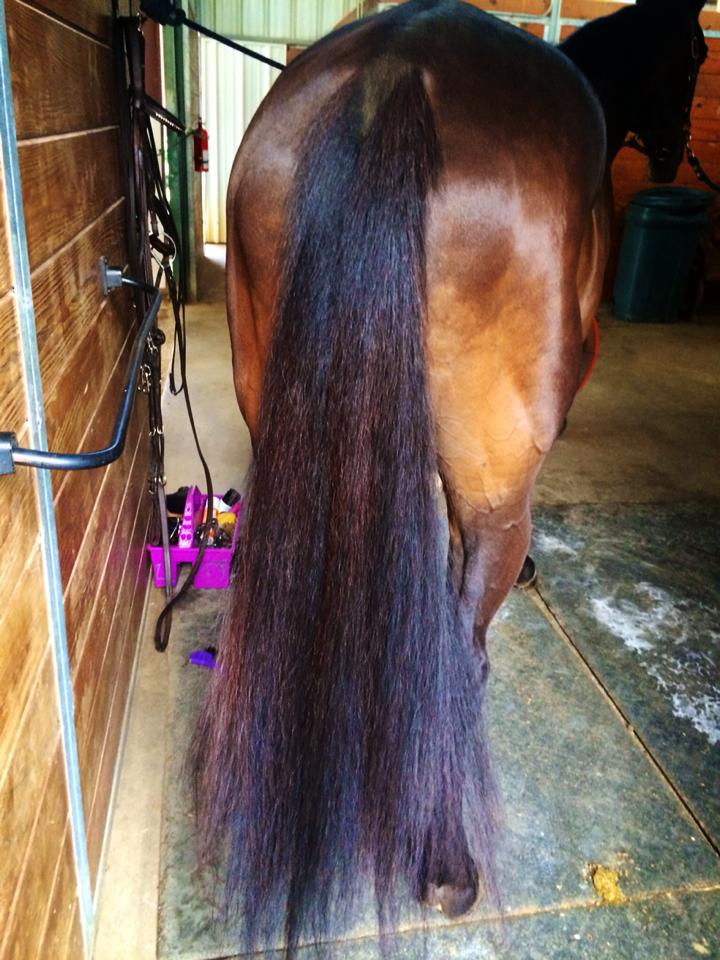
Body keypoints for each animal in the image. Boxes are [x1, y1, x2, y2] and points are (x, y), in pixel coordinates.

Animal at [192, 0, 706, 955]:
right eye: (694, 53)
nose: (672, 154)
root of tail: (398, 65)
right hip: (495, 477)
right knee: (466, 629)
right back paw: (445, 857)